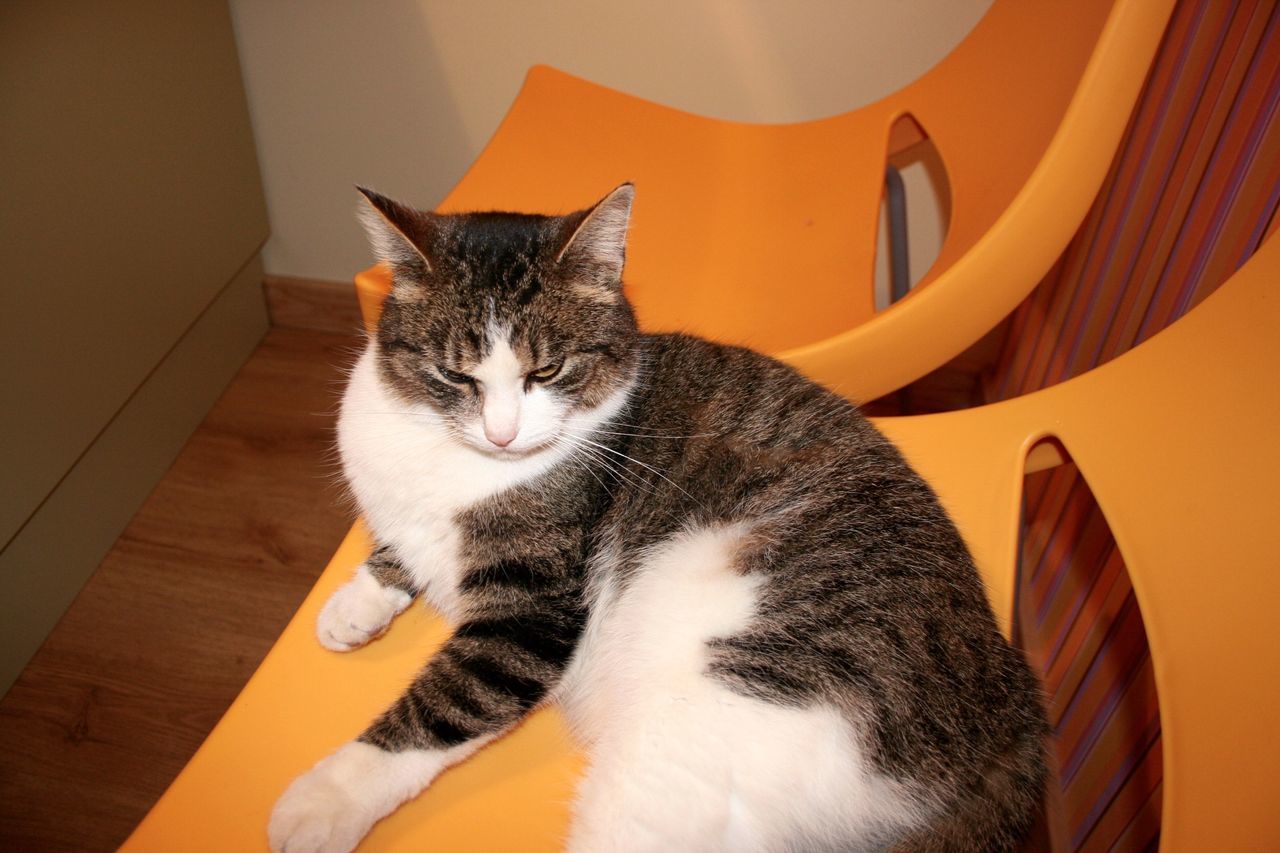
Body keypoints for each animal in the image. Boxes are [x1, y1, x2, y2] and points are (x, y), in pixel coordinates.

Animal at [264, 183, 1044, 845]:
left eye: (547, 371)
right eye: (455, 375)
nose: (502, 433)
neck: (450, 455)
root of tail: (1012, 714)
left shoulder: (532, 612)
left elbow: (448, 701)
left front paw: (326, 800)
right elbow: (397, 544)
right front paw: (357, 601)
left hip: (707, 729)